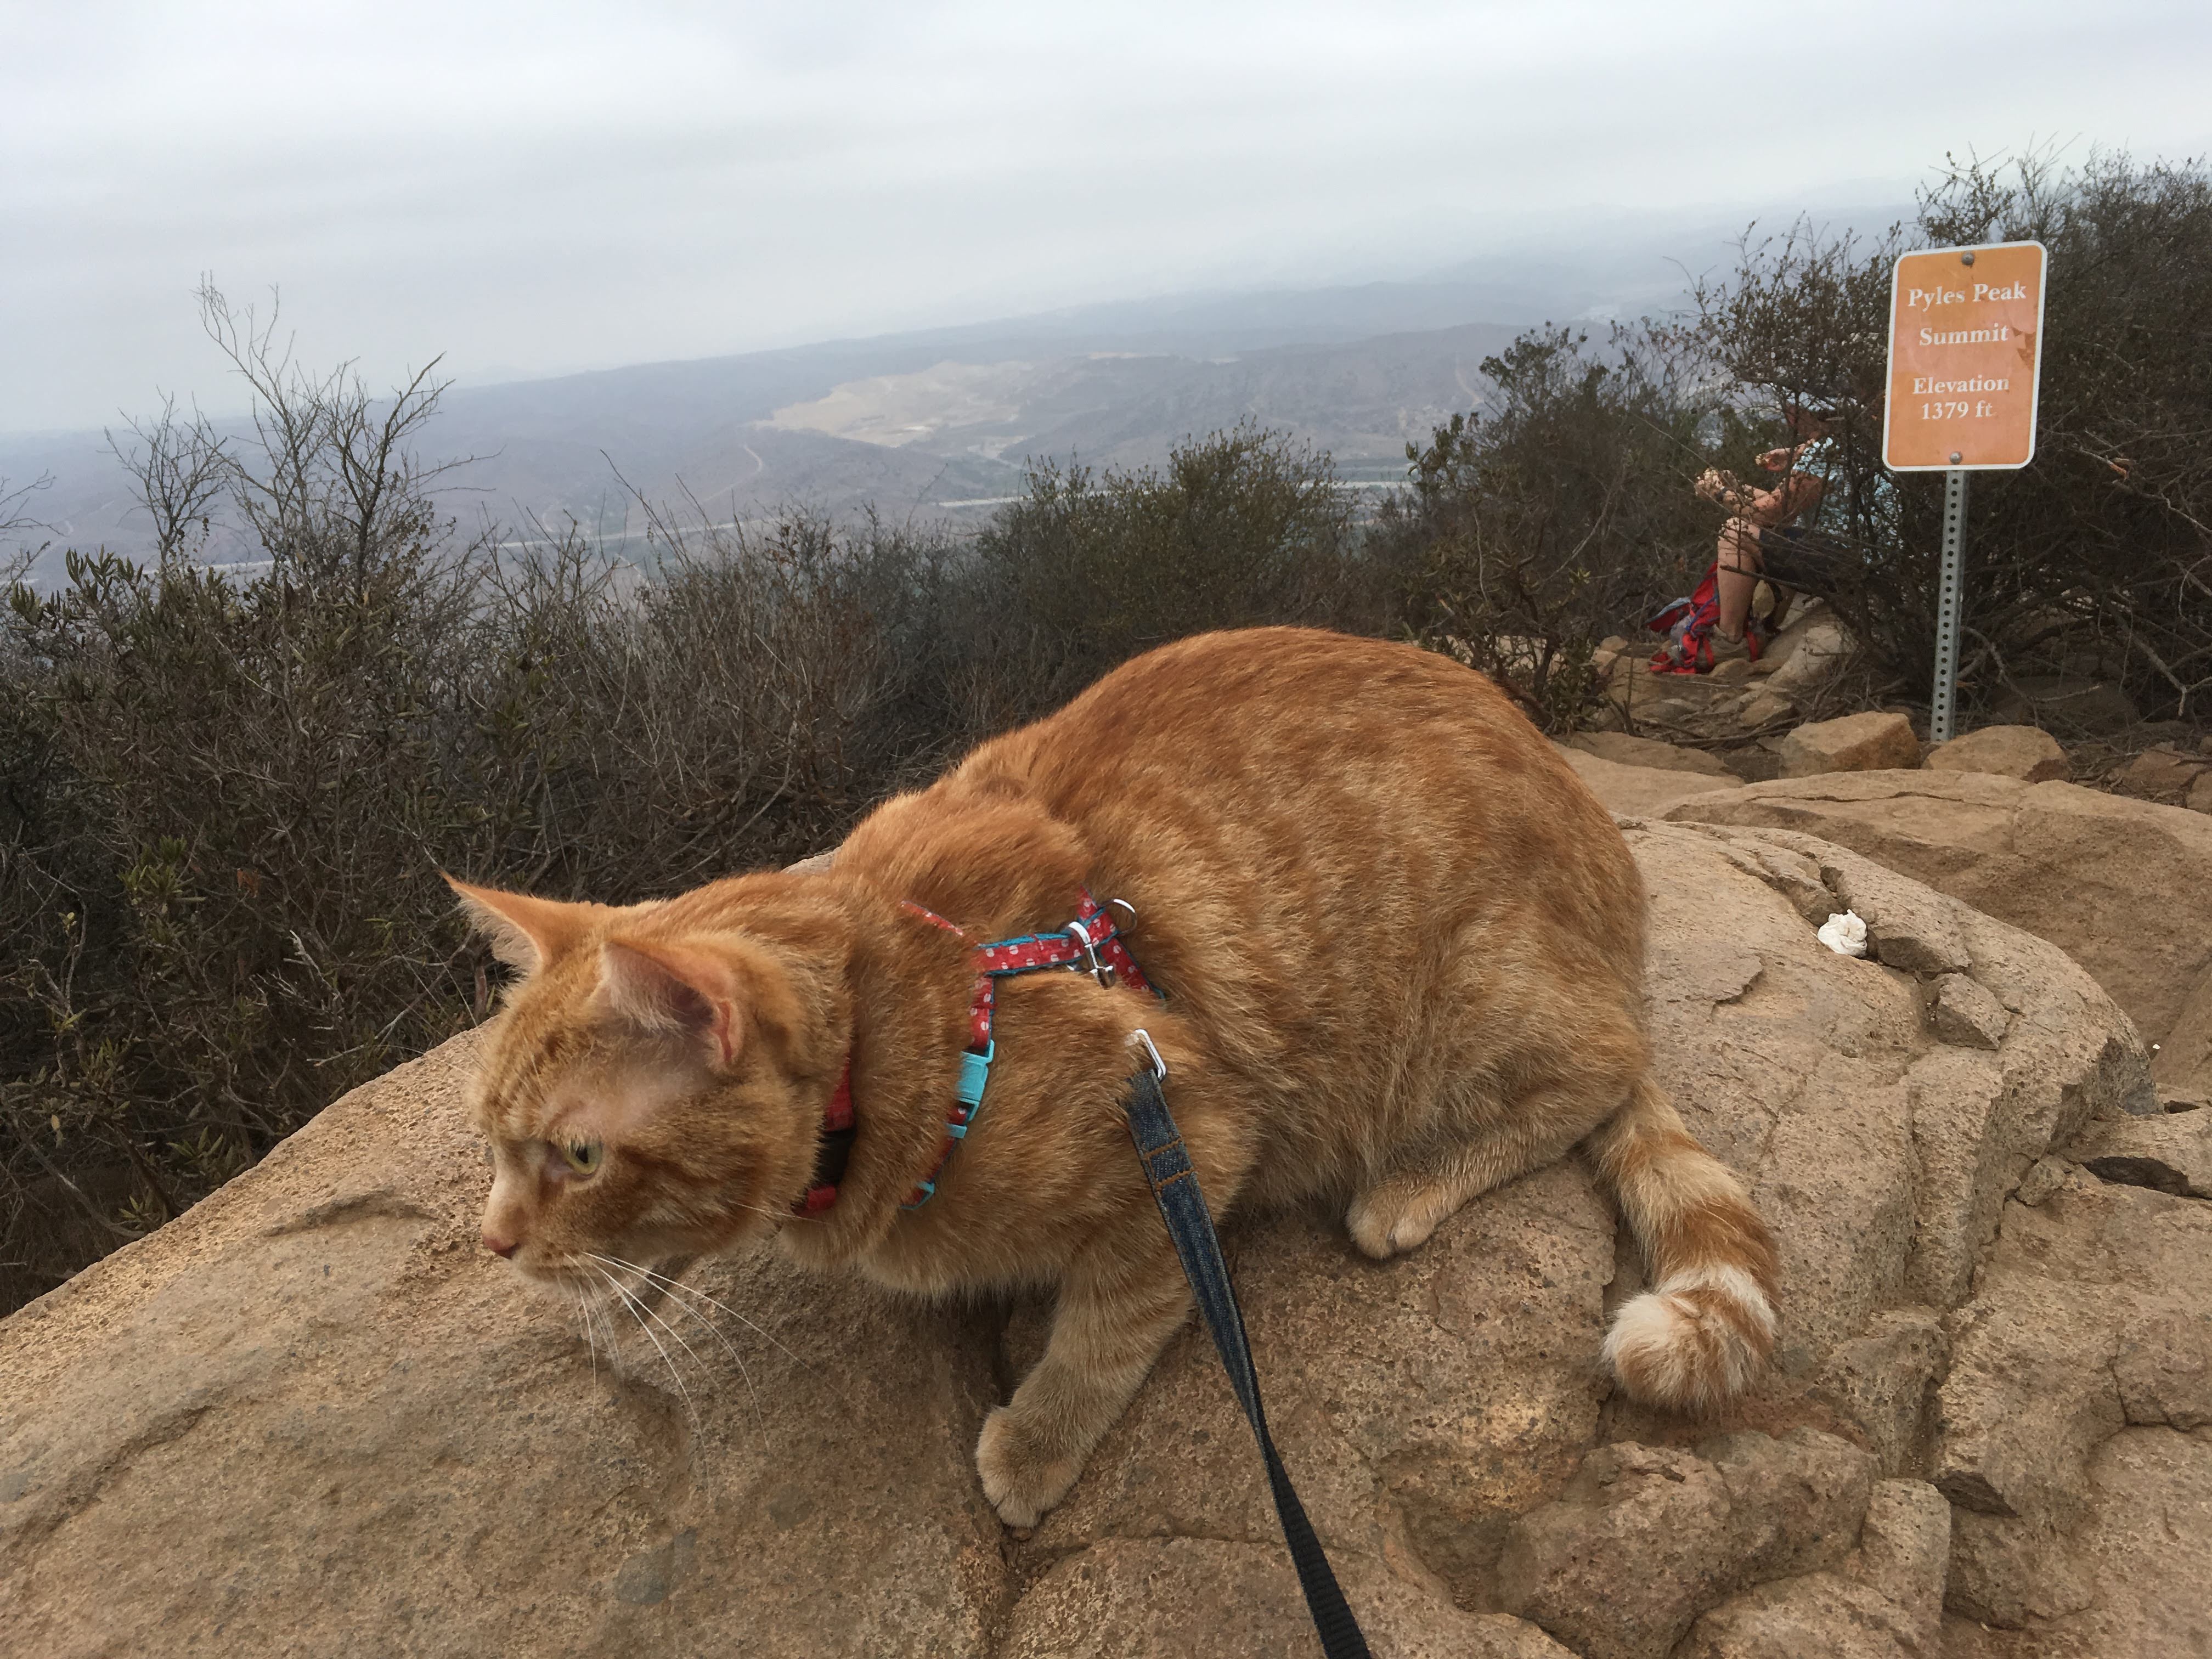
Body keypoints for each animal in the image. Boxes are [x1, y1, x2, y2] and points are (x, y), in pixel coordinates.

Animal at [453, 628, 1778, 1531]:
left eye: (579, 1155)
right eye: (494, 1141)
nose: (495, 1241)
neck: (909, 1011)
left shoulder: (1188, 1133)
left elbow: (1102, 1330)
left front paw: (1033, 1448)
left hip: (1469, 1002)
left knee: (1602, 1066)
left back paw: (1406, 1186)